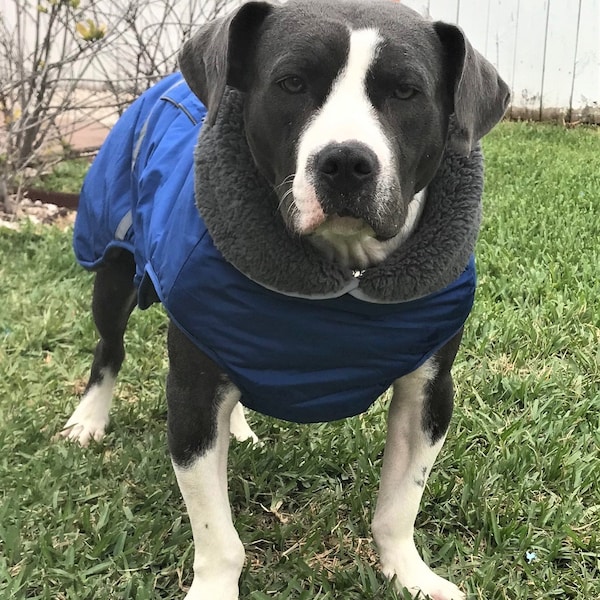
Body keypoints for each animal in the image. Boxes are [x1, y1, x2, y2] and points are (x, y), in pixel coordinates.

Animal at [61, 1, 508, 600]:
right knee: (109, 346)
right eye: (292, 83)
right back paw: (89, 418)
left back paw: (239, 428)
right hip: (112, 262)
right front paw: (215, 586)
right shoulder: (192, 393)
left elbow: (399, 505)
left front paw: (410, 574)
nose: (345, 161)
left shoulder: (429, 391)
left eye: (406, 92)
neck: (342, 273)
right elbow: (216, 532)